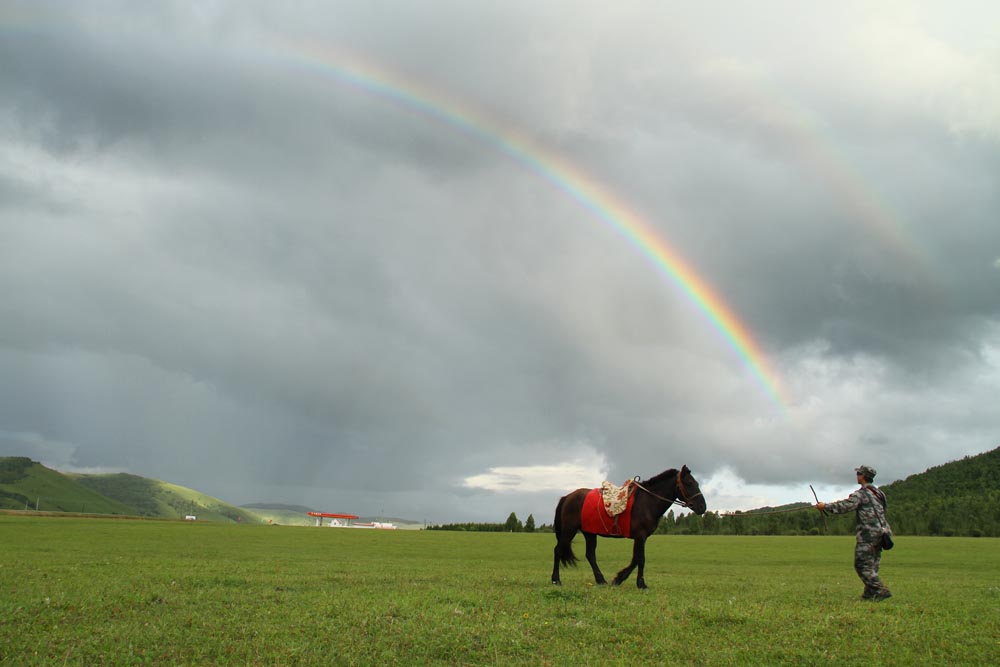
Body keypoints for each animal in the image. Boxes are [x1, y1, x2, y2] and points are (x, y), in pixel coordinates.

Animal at [552, 464, 708, 588]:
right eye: (689, 482)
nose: (702, 507)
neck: (647, 502)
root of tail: (567, 497)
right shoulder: (640, 536)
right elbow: (640, 559)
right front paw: (640, 583)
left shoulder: (641, 537)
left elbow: (635, 559)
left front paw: (619, 579)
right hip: (569, 530)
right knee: (558, 550)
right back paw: (556, 580)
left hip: (589, 532)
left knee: (590, 555)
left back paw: (601, 580)